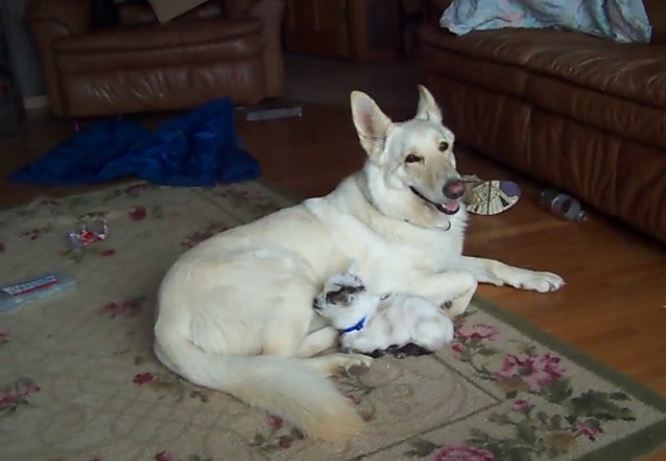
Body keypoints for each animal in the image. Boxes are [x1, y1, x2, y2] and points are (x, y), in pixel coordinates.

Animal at [153, 87, 564, 442]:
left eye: (444, 147)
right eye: (411, 159)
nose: (457, 190)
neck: (400, 213)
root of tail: (164, 323)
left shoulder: (444, 259)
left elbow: (491, 265)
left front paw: (536, 277)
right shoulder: (399, 282)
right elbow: (466, 278)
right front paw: (457, 306)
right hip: (289, 277)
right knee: (278, 362)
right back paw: (338, 357)